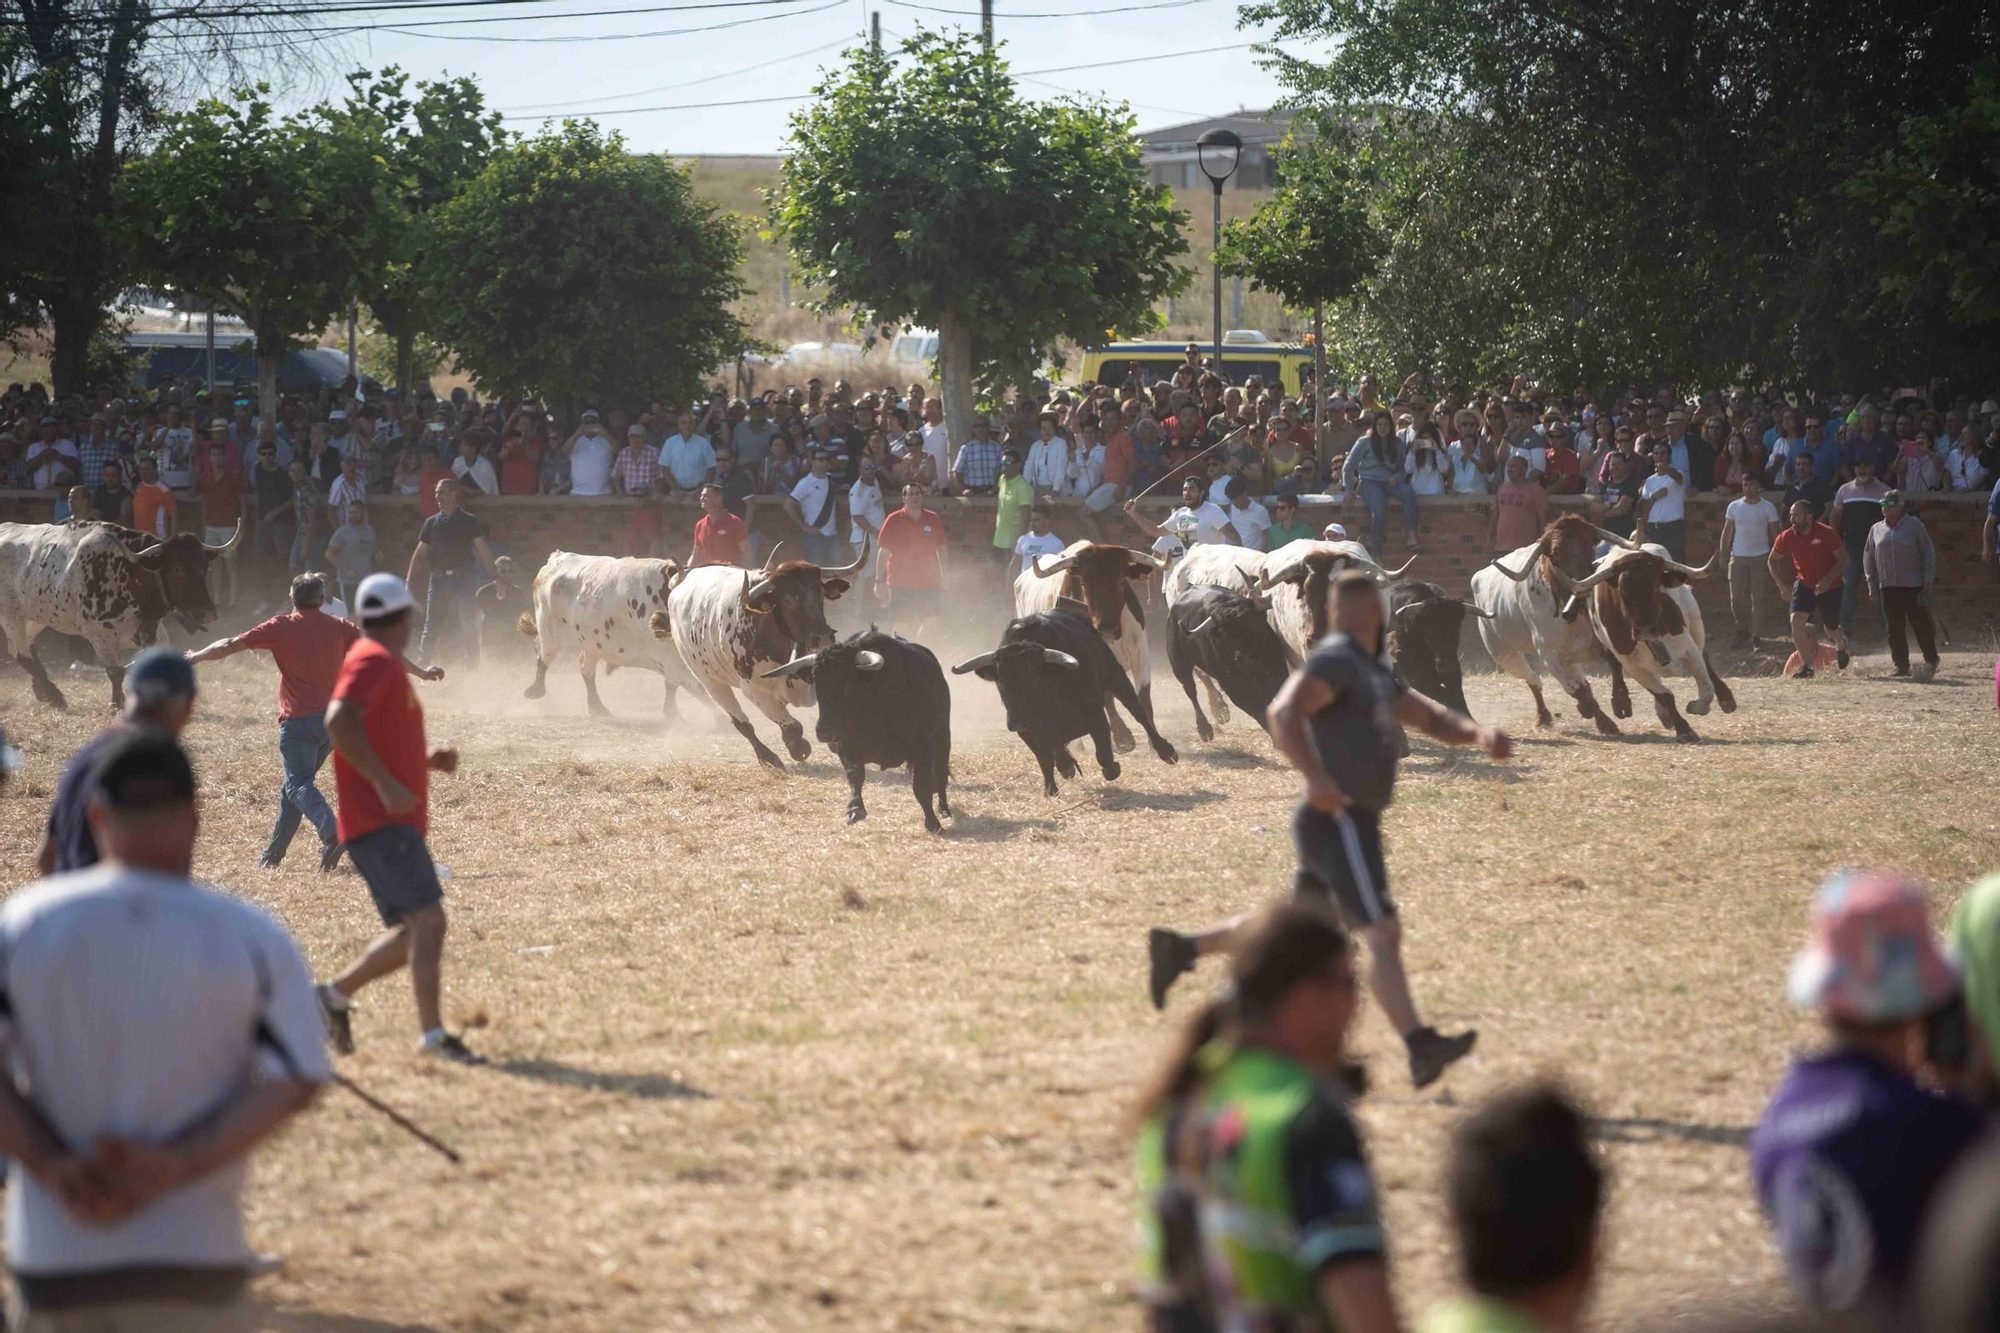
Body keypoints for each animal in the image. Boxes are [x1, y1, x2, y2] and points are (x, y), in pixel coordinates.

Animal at [0, 516, 239, 712]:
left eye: (206, 568)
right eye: (178, 569)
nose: (208, 612)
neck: (127, 573)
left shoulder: (152, 629)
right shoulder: (99, 635)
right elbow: (116, 672)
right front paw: (118, 703)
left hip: (35, 615)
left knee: (25, 647)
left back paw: (42, 691)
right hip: (10, 615)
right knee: (22, 655)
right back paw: (55, 696)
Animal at [520, 548, 708, 720]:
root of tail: (556, 558)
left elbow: (675, 684)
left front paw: (672, 712)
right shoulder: (670, 659)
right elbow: (698, 687)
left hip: (592, 642)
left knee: (586, 668)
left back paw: (597, 706)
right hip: (549, 633)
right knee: (542, 656)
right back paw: (536, 690)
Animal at [1016, 536, 1168, 748]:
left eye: (1122, 582)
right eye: (1085, 585)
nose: (1106, 628)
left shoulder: (1140, 653)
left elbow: (1143, 696)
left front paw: (1154, 743)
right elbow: (1105, 697)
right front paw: (1122, 736)